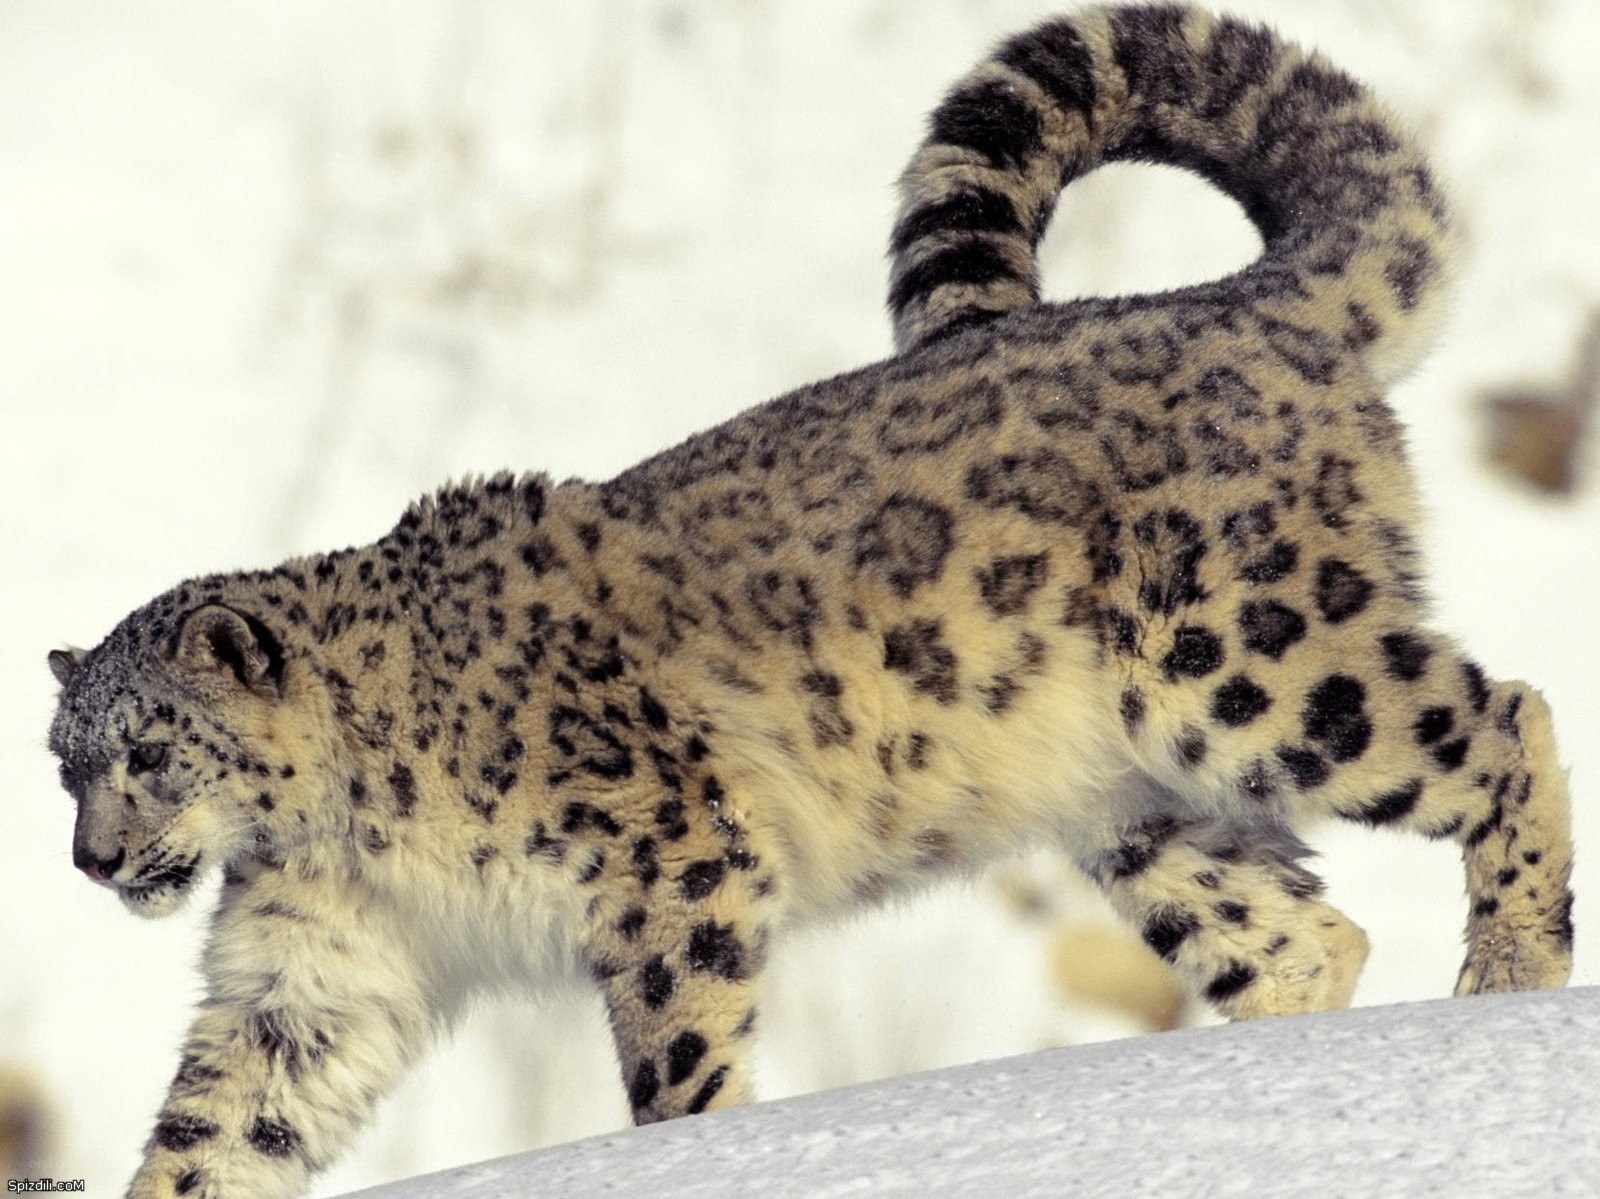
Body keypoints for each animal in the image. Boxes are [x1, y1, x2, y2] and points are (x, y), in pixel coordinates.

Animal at [46, 5, 1575, 1194]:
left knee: (1505, 715)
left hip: (1251, 658)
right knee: (1303, 929)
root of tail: (1247, 303)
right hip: (1138, 802)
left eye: (150, 747)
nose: (93, 859)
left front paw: (698, 1149)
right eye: (63, 761)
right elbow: (218, 1125)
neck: (344, 829)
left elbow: (677, 1049)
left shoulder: (664, 859)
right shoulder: (313, 968)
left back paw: (1509, 966)